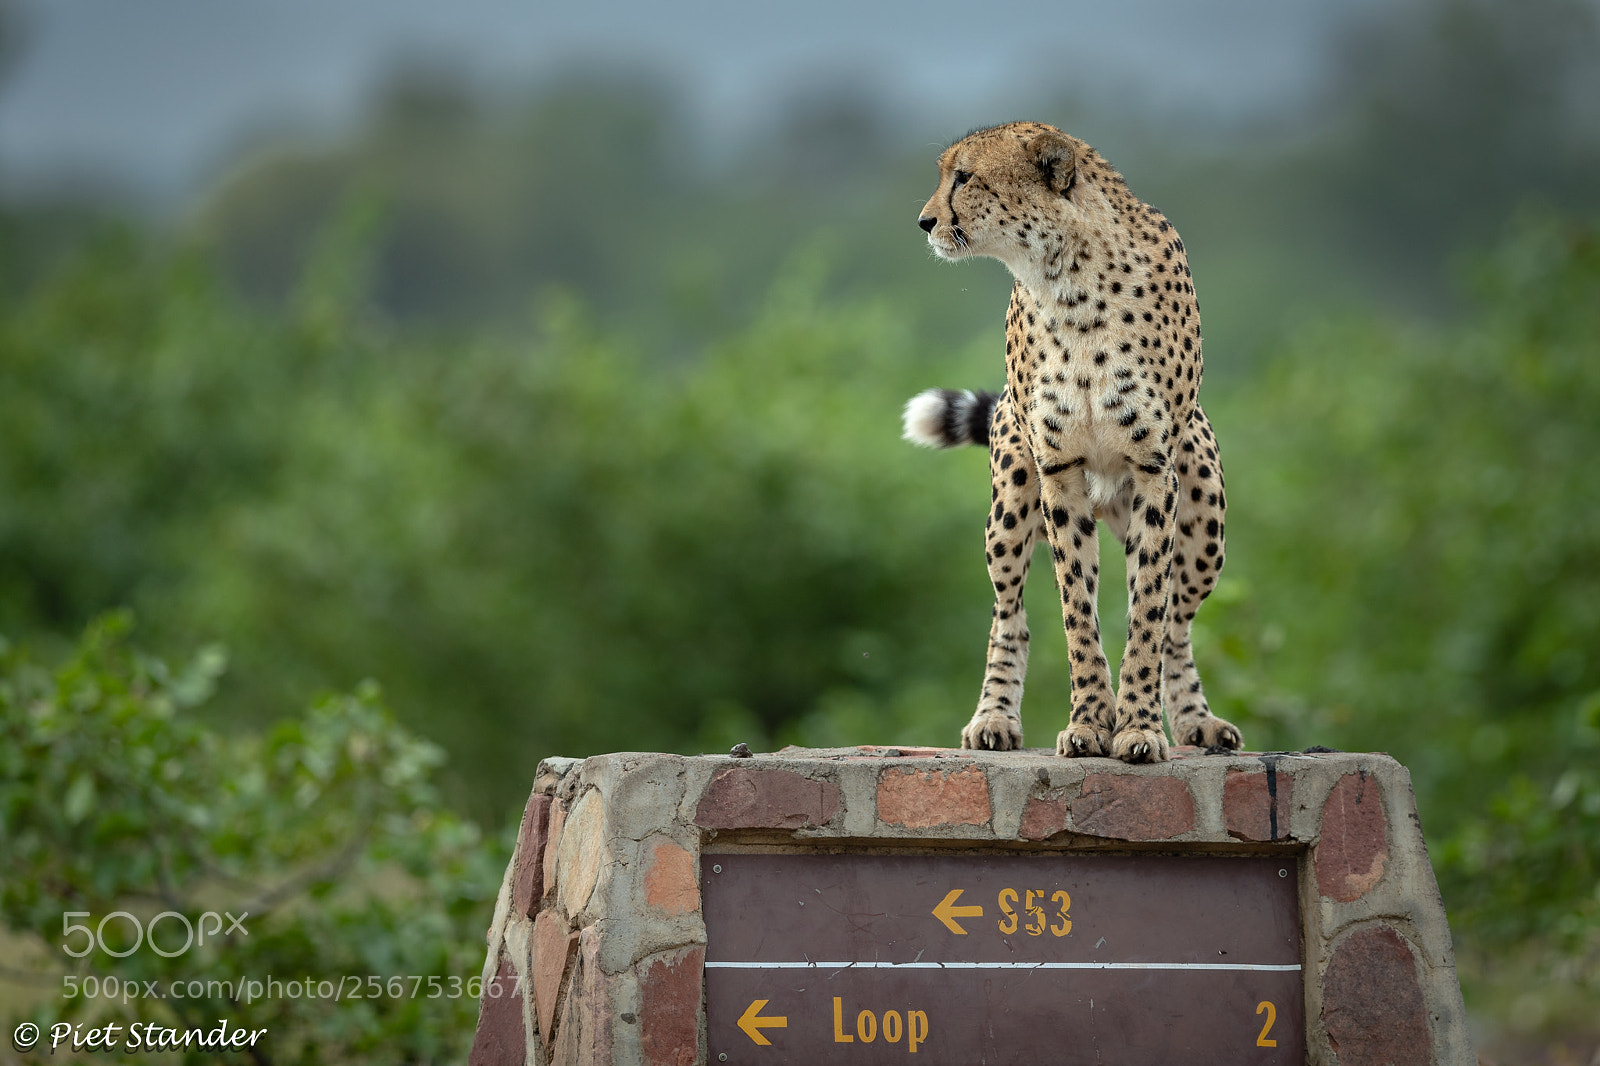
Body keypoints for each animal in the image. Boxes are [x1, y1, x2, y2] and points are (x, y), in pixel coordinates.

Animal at [902, 121, 1243, 763]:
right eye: (946, 174)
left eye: (965, 177)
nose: (925, 221)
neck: (1069, 281)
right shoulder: (1059, 471)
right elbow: (1077, 611)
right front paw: (1090, 721)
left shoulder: (1153, 469)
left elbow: (1148, 615)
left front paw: (1137, 727)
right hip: (1012, 499)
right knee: (1009, 612)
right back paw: (993, 718)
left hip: (1204, 520)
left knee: (1177, 622)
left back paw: (1193, 721)